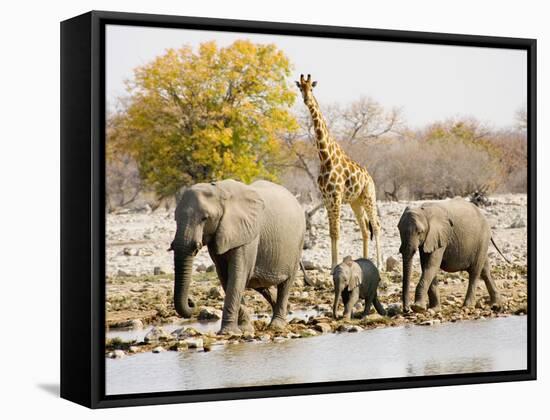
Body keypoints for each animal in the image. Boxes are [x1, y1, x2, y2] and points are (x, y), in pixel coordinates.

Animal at [169, 180, 306, 334]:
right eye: (175, 219)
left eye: (205, 218)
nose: (191, 301)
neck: (219, 191)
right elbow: (225, 277)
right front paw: (244, 328)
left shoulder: (247, 234)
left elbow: (237, 276)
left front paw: (227, 332)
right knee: (259, 283)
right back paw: (287, 310)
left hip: (298, 244)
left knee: (285, 284)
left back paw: (277, 325)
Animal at [296, 74, 382, 270]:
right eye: (300, 88)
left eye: (311, 88)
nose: (306, 100)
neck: (325, 157)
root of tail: (370, 178)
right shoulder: (327, 198)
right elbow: (331, 232)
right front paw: (332, 264)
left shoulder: (335, 197)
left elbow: (336, 232)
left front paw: (335, 265)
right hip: (356, 202)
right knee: (365, 229)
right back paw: (365, 260)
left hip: (368, 196)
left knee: (376, 225)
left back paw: (380, 264)